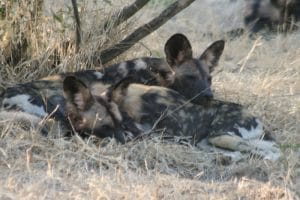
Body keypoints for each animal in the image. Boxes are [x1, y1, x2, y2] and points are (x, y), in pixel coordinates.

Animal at [62, 76, 282, 160]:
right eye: (106, 126)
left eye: (119, 124)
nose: (125, 142)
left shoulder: (140, 134)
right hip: (208, 143)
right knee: (240, 154)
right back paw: (224, 160)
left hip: (221, 136)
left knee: (272, 154)